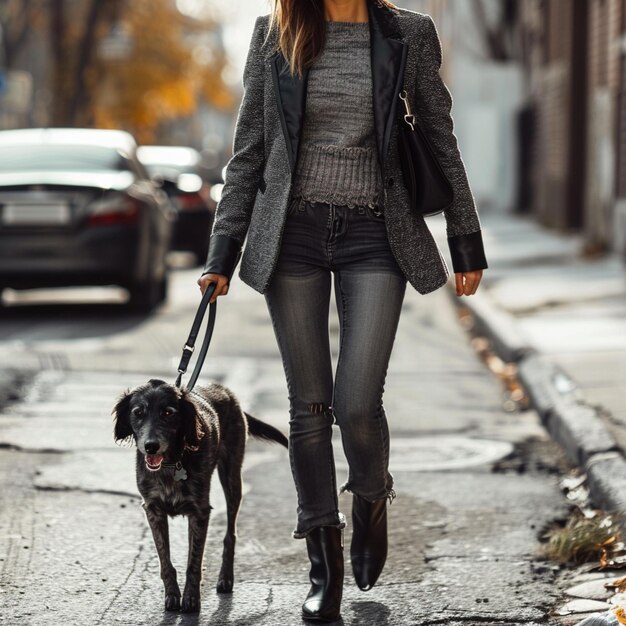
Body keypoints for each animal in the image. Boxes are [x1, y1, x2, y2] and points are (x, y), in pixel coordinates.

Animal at [112, 378, 288, 612]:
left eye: (168, 413)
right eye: (138, 412)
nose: (151, 447)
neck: (171, 463)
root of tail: (224, 390)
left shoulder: (200, 511)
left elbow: (194, 562)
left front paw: (191, 599)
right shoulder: (153, 510)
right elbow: (165, 561)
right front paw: (172, 596)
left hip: (232, 478)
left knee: (230, 535)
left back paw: (225, 579)